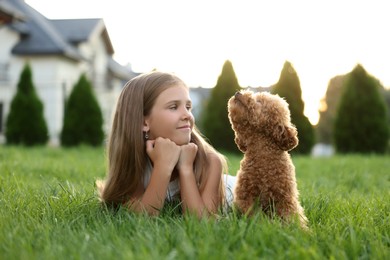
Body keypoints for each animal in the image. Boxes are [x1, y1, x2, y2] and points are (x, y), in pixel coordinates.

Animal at [229, 90, 308, 229]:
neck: (263, 155)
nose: (238, 92)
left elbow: (291, 217)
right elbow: (253, 217)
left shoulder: (285, 198)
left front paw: (298, 230)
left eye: (259, 101)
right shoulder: (246, 197)